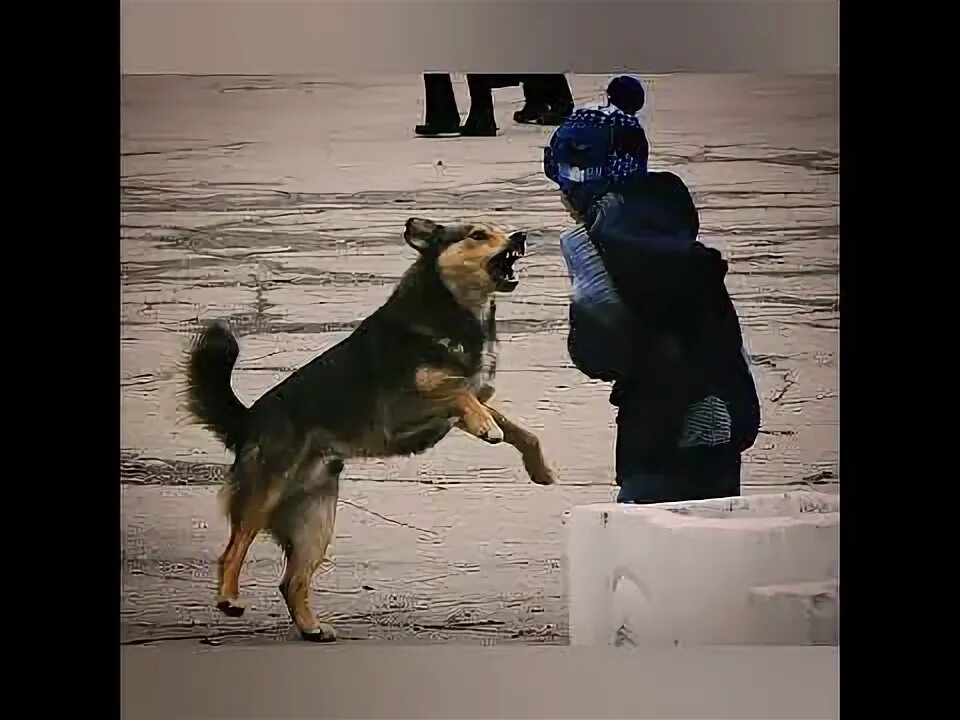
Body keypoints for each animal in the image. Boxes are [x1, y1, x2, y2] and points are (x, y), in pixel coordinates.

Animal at [184, 215, 556, 640]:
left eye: (502, 230)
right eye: (478, 235)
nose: (521, 237)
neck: (454, 310)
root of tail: (247, 421)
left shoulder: (466, 404)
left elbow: (519, 430)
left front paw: (539, 468)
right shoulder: (404, 408)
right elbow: (461, 394)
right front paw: (486, 427)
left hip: (315, 521)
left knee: (291, 580)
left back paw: (311, 628)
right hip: (265, 493)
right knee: (232, 550)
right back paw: (229, 599)